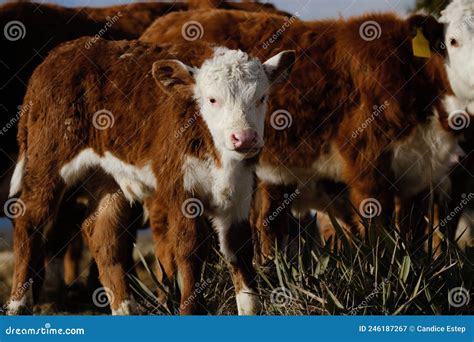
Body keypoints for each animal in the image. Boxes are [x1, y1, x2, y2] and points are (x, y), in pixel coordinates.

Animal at [7, 38, 294, 316]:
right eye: (212, 100)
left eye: (261, 97)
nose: (244, 138)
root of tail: (59, 53)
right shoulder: (181, 190)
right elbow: (189, 247)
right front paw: (190, 310)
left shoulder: (239, 194)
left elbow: (240, 248)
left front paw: (250, 309)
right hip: (47, 162)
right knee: (29, 221)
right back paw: (18, 304)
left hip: (107, 177)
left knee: (102, 234)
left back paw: (125, 308)